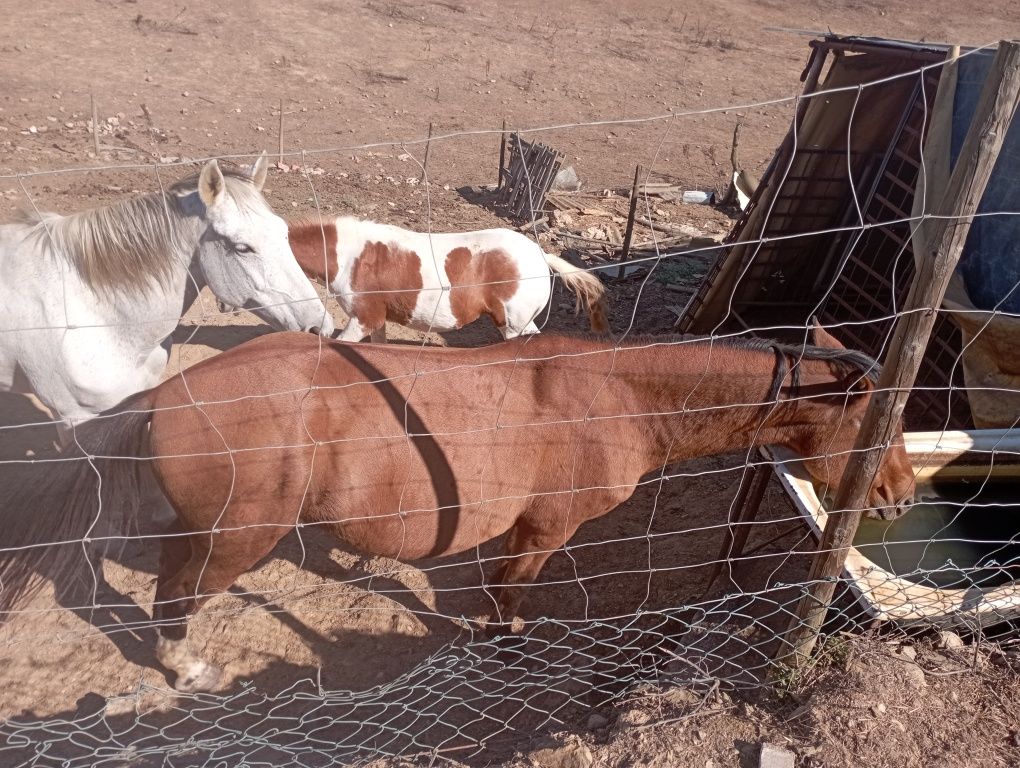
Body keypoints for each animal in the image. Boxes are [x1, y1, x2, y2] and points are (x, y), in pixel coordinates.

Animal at [0, 320, 918, 693]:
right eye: (877, 422)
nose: (900, 496)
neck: (614, 394)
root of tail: (165, 393)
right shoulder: (545, 529)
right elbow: (510, 594)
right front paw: (504, 643)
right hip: (235, 537)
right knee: (174, 597)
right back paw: (186, 667)